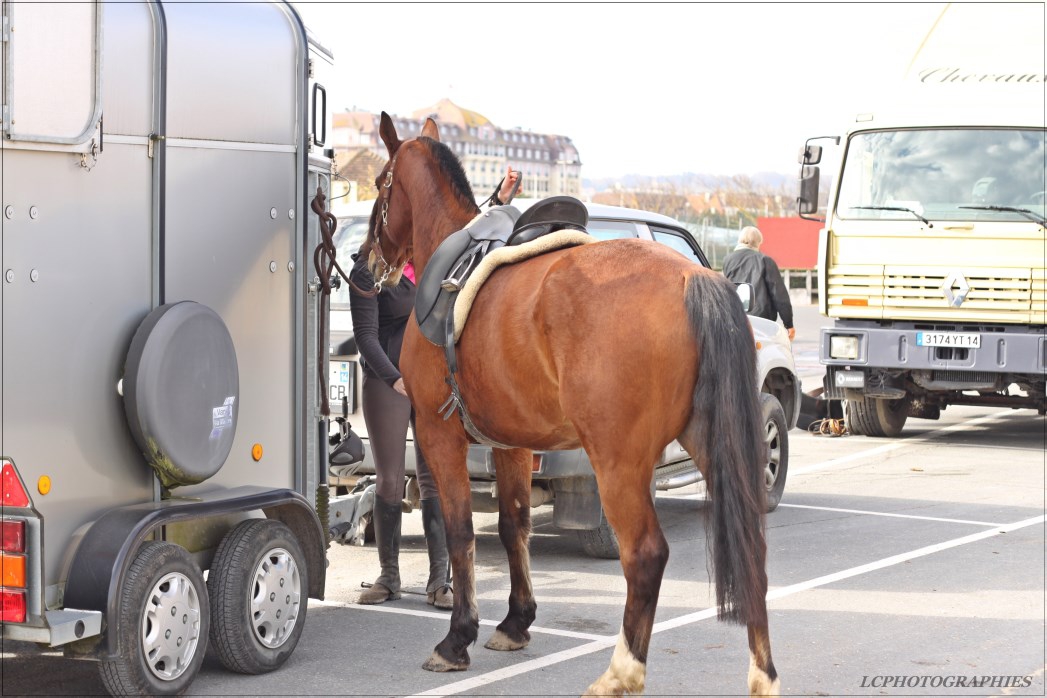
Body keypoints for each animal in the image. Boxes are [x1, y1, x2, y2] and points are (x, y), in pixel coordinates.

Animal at [362, 111, 778, 697]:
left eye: (381, 184)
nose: (364, 259)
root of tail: (694, 275)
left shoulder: (440, 437)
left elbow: (461, 529)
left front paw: (458, 637)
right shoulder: (510, 444)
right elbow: (514, 525)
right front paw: (515, 622)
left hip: (618, 464)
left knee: (645, 554)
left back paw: (621, 672)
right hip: (714, 445)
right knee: (751, 548)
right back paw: (763, 675)